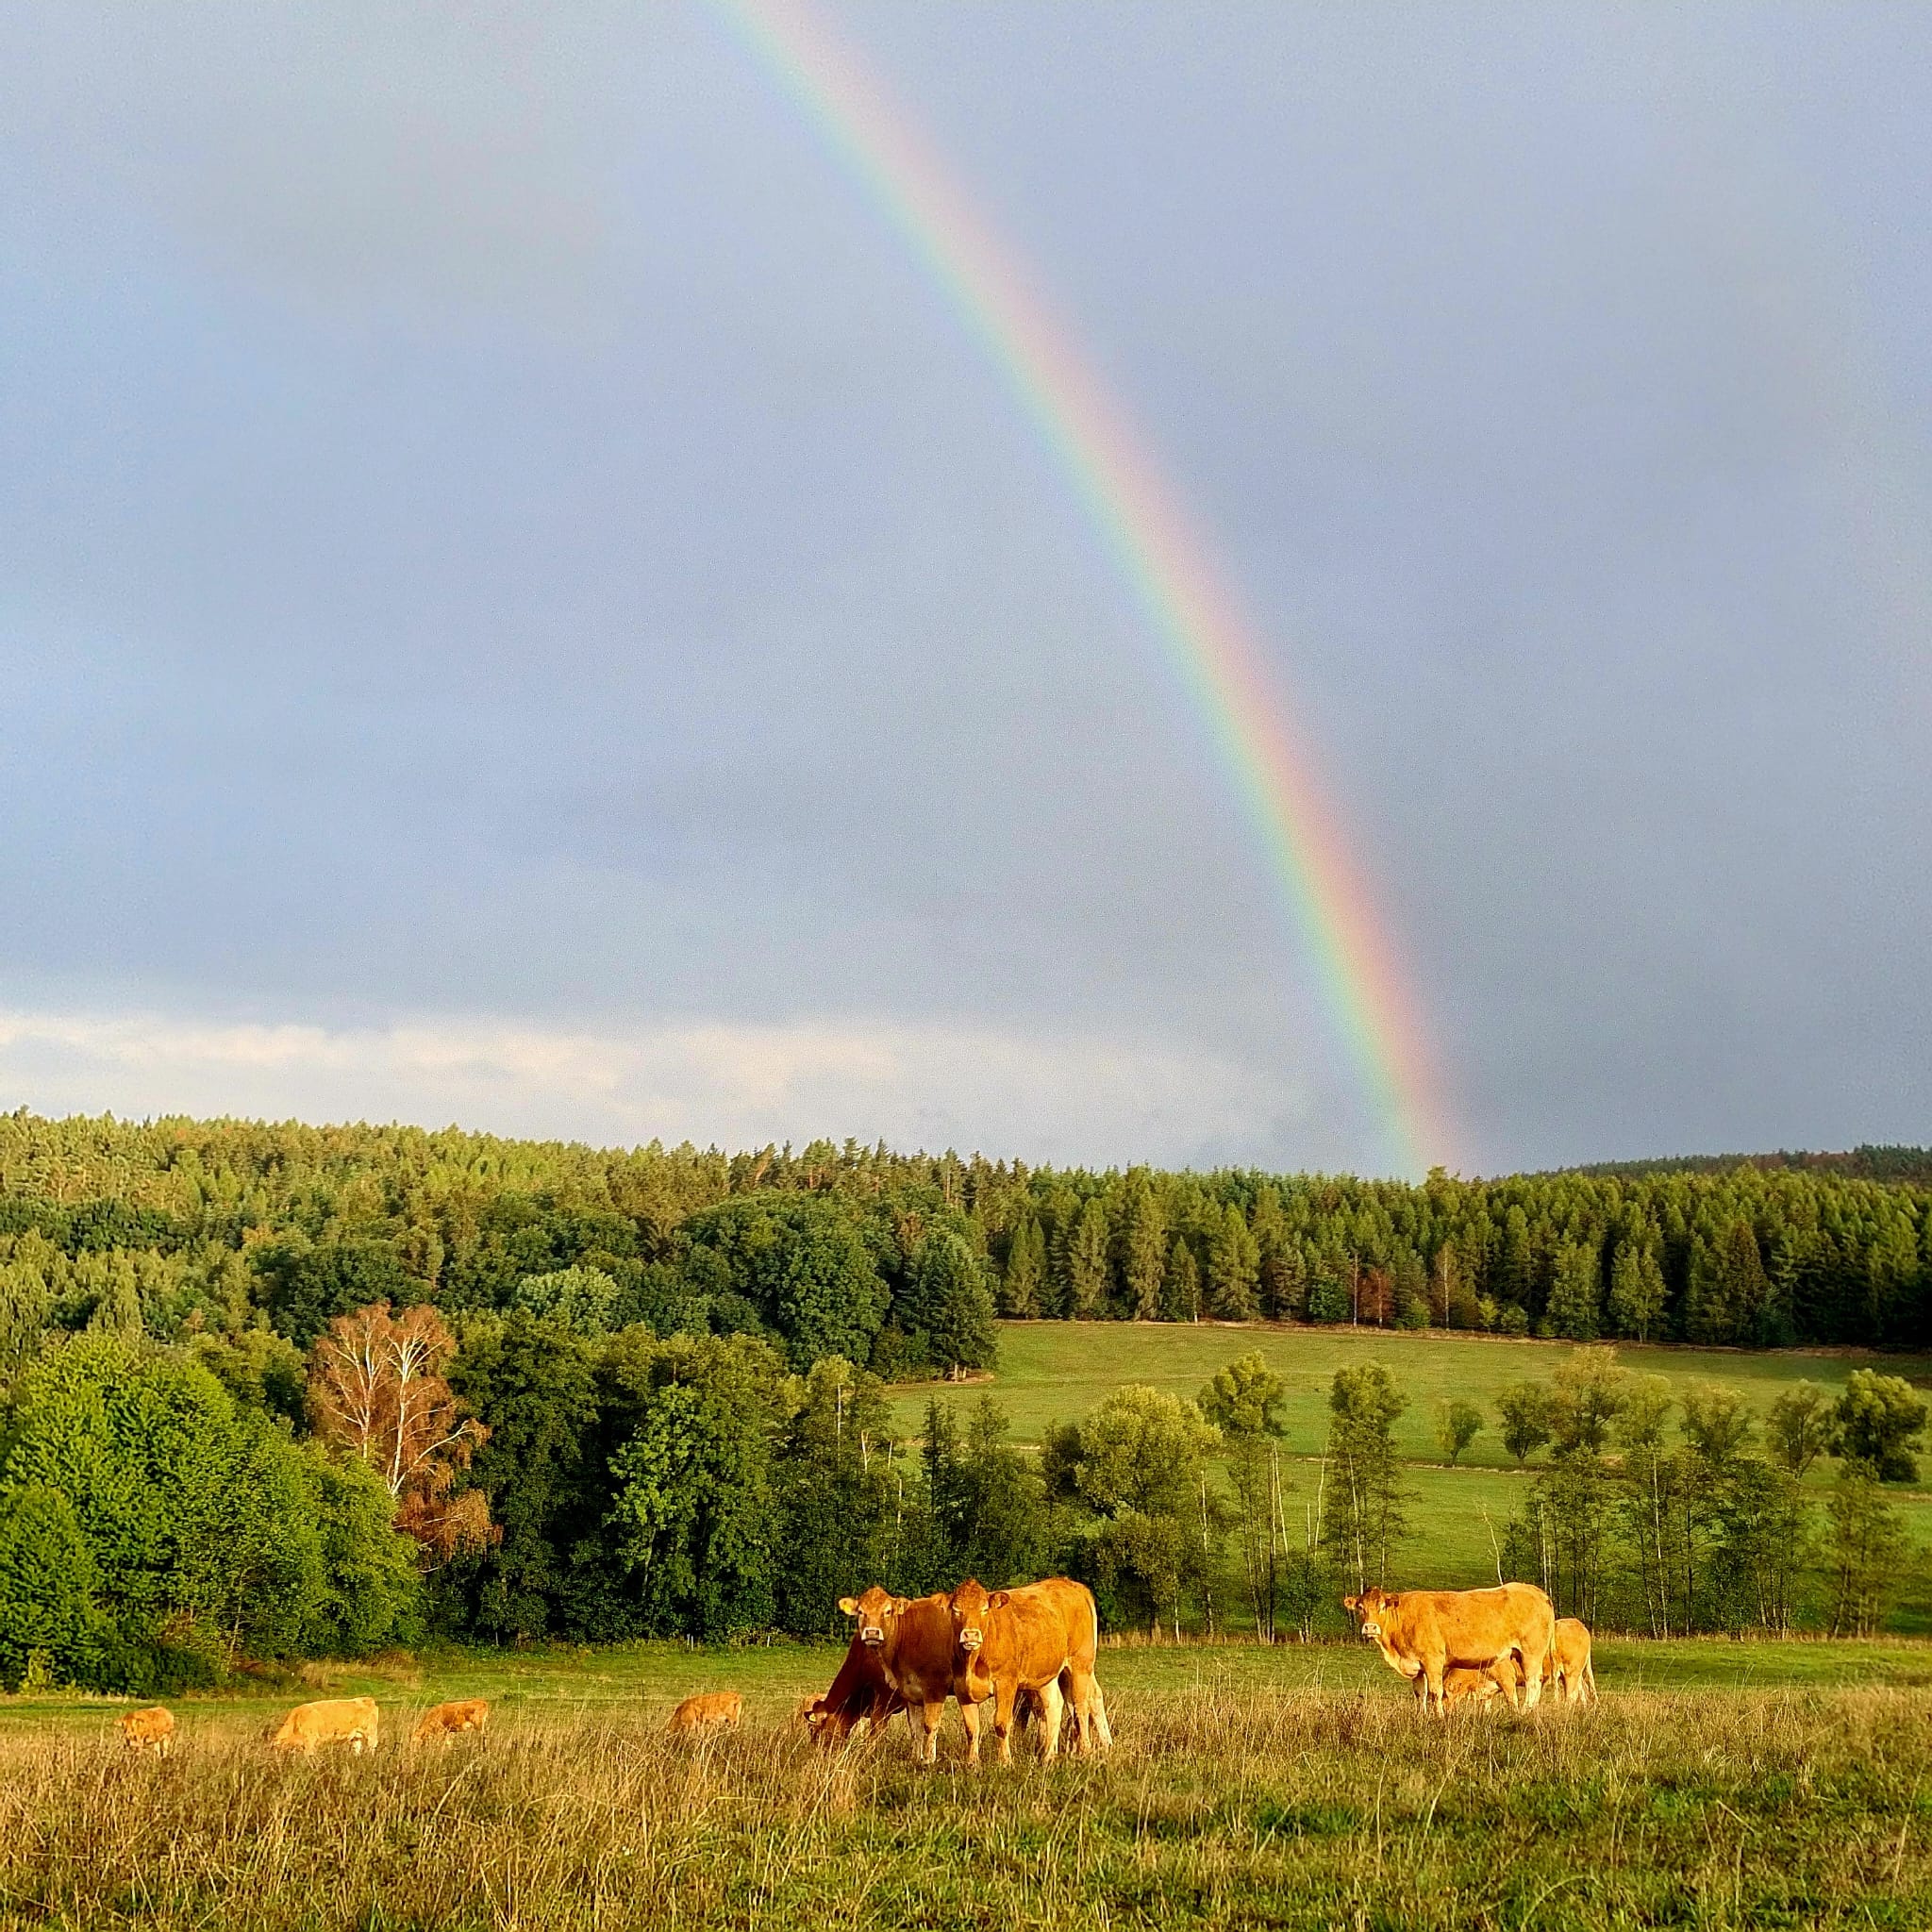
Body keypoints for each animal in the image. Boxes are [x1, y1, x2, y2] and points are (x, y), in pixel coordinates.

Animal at [838, 1584, 974, 1769]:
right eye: (860, 1611)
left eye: (887, 1611)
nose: (872, 1633)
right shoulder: (911, 1691)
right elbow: (915, 1727)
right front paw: (915, 1758)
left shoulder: (935, 1686)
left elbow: (930, 1724)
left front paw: (929, 1759)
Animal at [942, 1568, 1112, 1769]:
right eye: (956, 1610)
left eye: (984, 1609)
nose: (970, 1635)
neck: (973, 1661)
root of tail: (1071, 1584)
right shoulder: (962, 1689)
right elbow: (971, 1729)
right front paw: (972, 1763)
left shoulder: (1006, 1684)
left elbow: (1001, 1724)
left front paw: (1005, 1761)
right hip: (1050, 1673)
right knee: (1057, 1704)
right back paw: (1050, 1756)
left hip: (1081, 1665)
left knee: (1081, 1706)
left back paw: (1085, 1751)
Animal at [1352, 1584, 1560, 1723]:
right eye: (1360, 1608)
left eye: (1382, 1607)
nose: (1370, 1628)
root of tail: (1536, 1591)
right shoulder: (1417, 1665)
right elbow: (1420, 1693)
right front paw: (1421, 1717)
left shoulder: (1433, 1660)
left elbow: (1435, 1692)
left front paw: (1439, 1717)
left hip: (1531, 1653)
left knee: (1533, 1683)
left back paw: (1526, 1712)